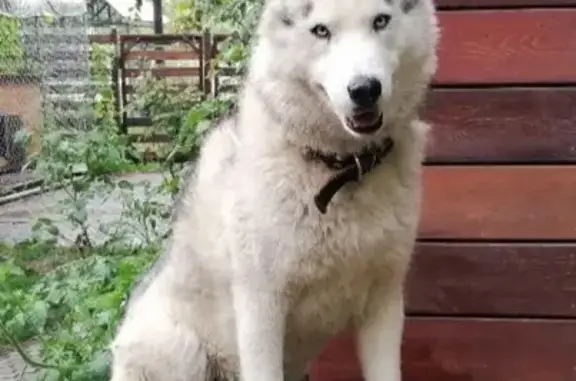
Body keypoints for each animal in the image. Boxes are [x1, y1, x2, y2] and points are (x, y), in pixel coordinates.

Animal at [110, 0, 438, 378]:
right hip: (182, 351)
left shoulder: (384, 301)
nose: (364, 89)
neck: (341, 168)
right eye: (321, 30)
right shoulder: (260, 308)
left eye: (381, 21)